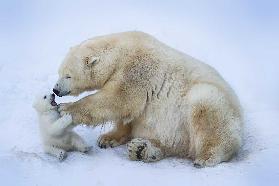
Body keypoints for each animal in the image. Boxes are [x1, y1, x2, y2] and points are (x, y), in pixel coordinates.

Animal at [54, 31, 243, 166]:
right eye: (59, 72)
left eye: (68, 75)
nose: (55, 90)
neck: (122, 51)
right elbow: (128, 114)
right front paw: (107, 139)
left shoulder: (138, 69)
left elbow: (118, 100)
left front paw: (64, 109)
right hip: (178, 134)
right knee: (169, 143)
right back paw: (142, 149)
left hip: (217, 107)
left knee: (206, 107)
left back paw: (206, 156)